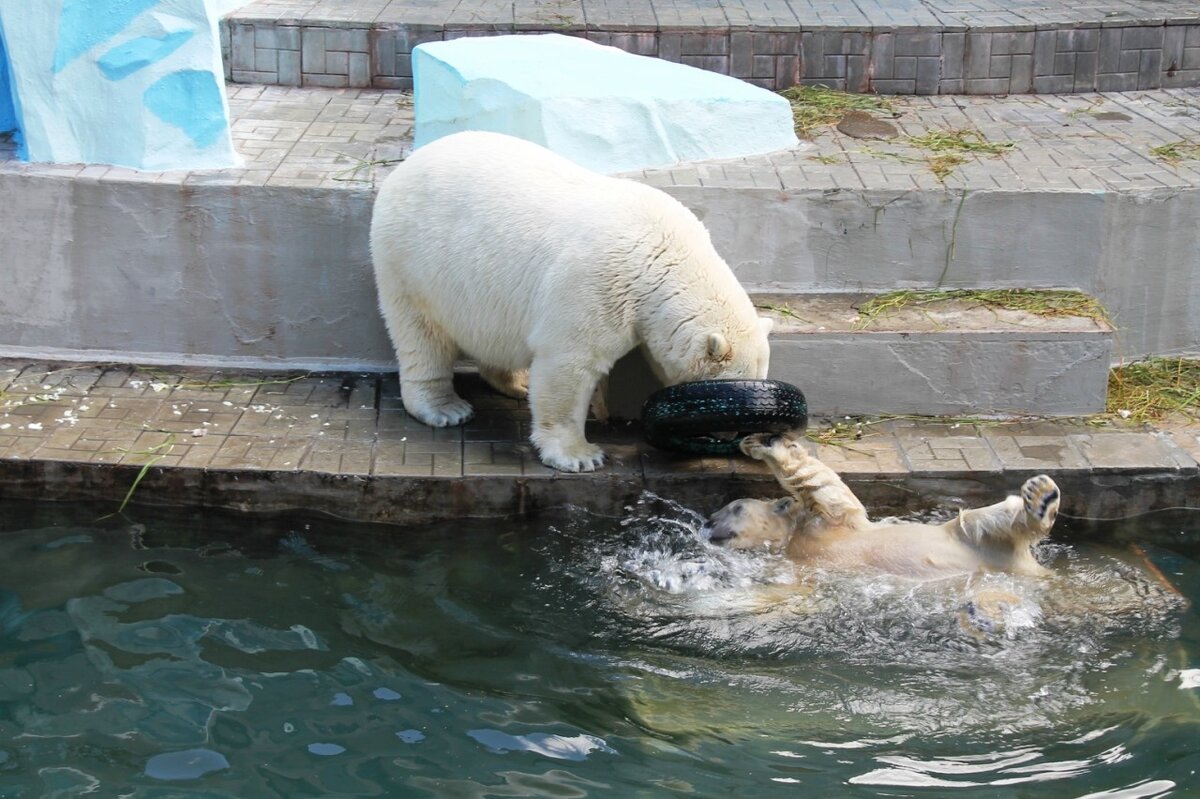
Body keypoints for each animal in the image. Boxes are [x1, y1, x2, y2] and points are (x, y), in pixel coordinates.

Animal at [369, 127, 772, 470]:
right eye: (729, 398)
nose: (727, 434)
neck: (662, 254)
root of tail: (408, 163)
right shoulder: (597, 283)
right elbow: (570, 364)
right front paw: (580, 455)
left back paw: (517, 384)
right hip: (410, 258)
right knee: (422, 334)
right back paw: (445, 408)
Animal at [705, 429, 1065, 578]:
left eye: (734, 508)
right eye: (716, 512)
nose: (708, 523)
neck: (793, 538)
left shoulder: (830, 522)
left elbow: (825, 487)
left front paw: (759, 442)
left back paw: (1040, 494)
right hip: (989, 549)